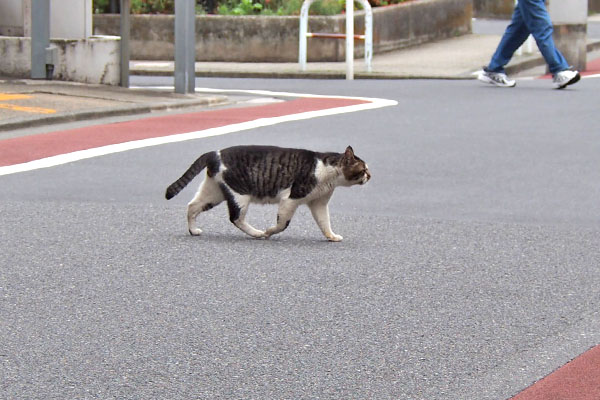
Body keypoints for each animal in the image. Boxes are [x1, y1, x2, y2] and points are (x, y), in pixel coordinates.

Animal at [165, 145, 370, 242]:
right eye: (363, 170)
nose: (370, 175)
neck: (328, 174)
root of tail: (215, 153)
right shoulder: (290, 199)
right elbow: (282, 224)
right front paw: (269, 232)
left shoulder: (318, 203)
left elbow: (324, 223)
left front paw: (331, 236)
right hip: (240, 194)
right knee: (235, 218)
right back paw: (257, 233)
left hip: (213, 193)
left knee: (192, 206)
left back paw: (193, 230)